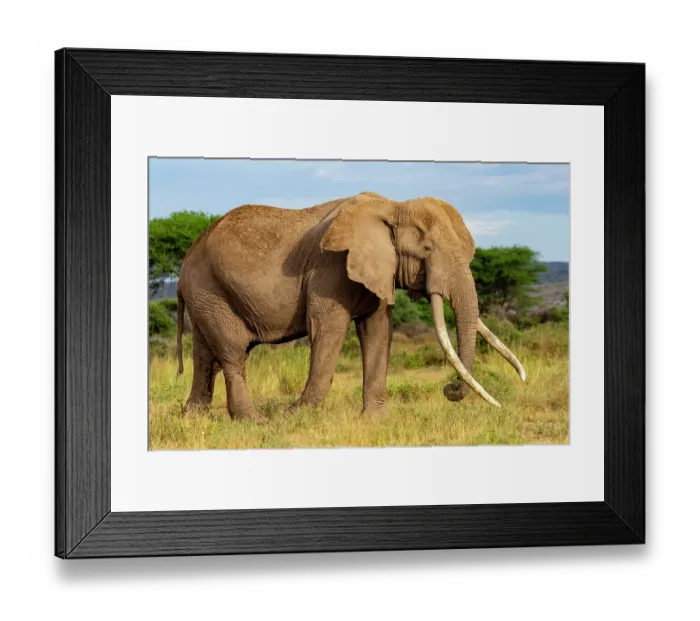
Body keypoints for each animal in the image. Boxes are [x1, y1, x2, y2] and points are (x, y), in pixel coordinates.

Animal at [176, 191, 526, 422]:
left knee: (205, 355)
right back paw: (255, 422)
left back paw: (194, 418)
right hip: (209, 290)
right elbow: (327, 330)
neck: (393, 207)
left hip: (205, 295)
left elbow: (378, 331)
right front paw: (295, 416)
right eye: (427, 249)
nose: (449, 389)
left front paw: (377, 421)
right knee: (232, 352)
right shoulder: (329, 268)